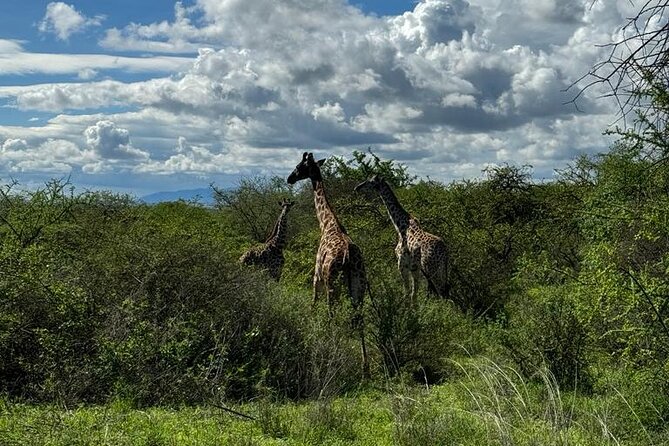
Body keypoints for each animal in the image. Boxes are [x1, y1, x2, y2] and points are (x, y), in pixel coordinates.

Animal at [287, 152, 370, 377]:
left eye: (299, 166)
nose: (289, 178)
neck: (327, 223)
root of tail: (349, 257)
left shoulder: (317, 275)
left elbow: (313, 303)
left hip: (333, 284)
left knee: (332, 314)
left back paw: (333, 350)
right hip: (359, 286)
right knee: (359, 318)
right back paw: (365, 367)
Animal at [355, 175, 449, 304]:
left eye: (371, 182)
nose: (357, 187)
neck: (400, 226)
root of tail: (444, 252)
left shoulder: (402, 263)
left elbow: (406, 292)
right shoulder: (414, 267)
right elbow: (413, 294)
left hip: (431, 268)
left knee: (442, 294)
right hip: (441, 270)